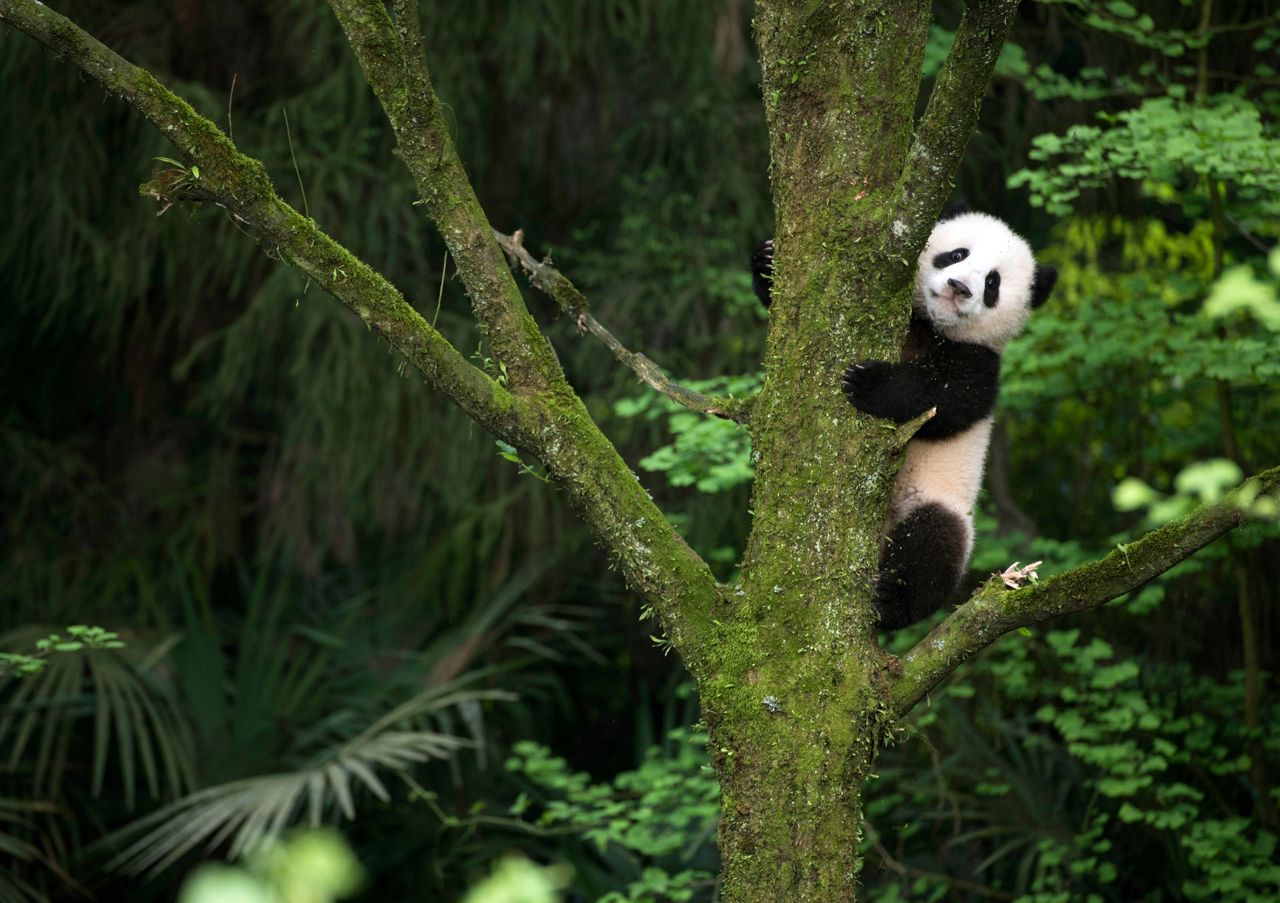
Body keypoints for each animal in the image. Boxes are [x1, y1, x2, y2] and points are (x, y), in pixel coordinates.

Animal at [751, 212, 1057, 629]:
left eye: (993, 283)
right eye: (957, 254)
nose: (959, 287)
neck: (931, 325)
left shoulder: (981, 363)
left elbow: (947, 399)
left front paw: (869, 383)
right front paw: (767, 260)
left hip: (935, 503)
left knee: (934, 543)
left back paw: (890, 600)